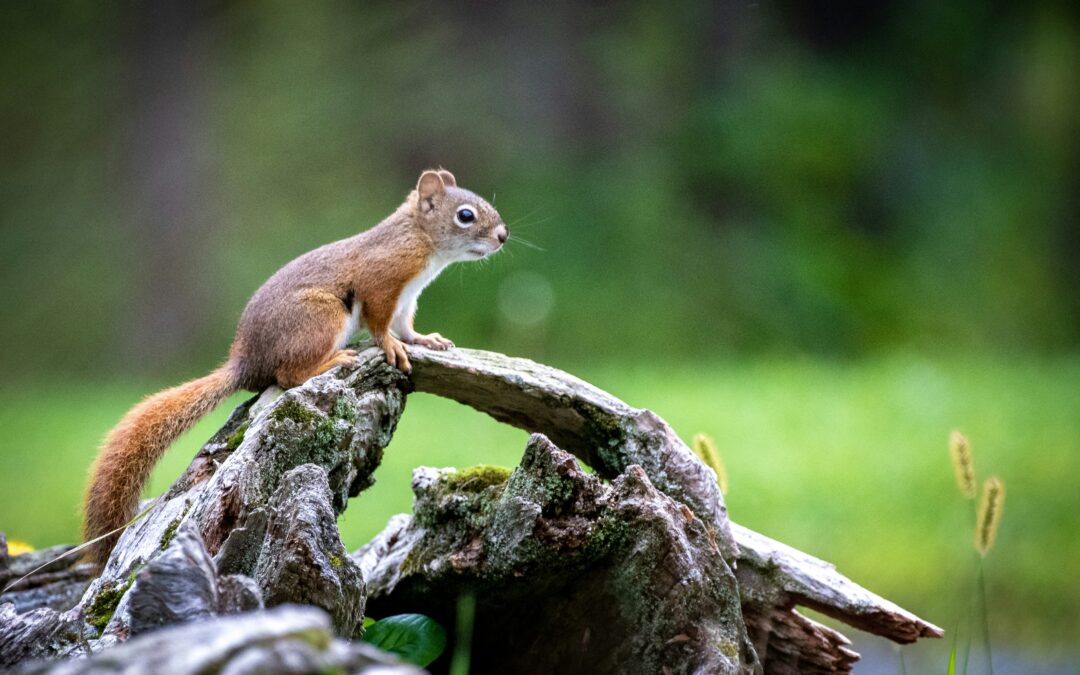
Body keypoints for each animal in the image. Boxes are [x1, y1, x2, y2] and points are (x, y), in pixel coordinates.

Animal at [82, 169, 508, 563]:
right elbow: (381, 325)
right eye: (466, 215)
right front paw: (390, 346)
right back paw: (332, 360)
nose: (503, 236)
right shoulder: (382, 281)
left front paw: (425, 340)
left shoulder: (406, 302)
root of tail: (247, 360)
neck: (420, 238)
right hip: (322, 316)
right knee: (288, 375)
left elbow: (406, 327)